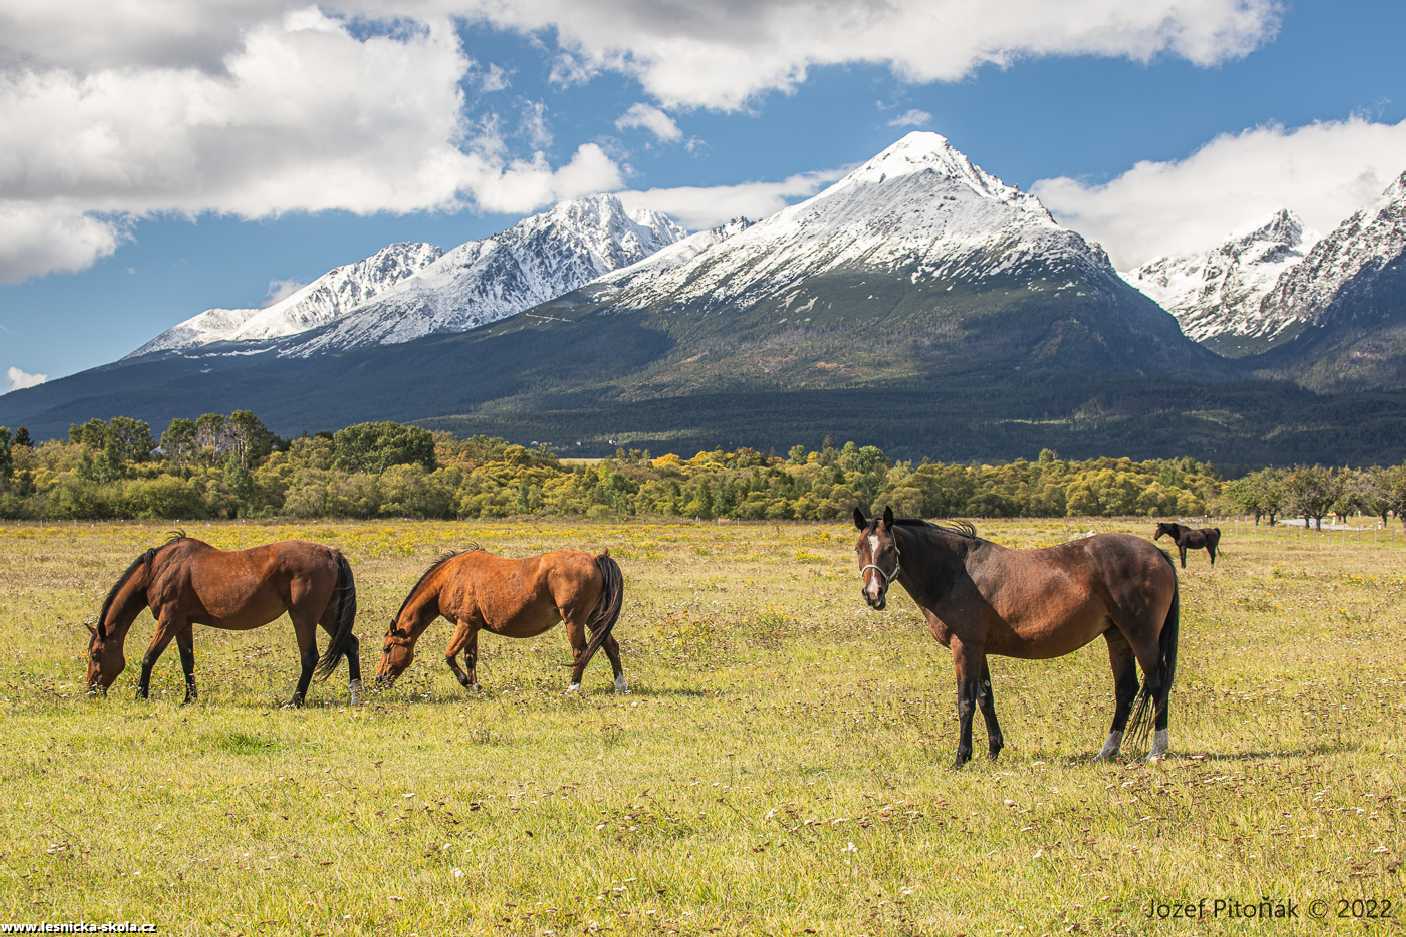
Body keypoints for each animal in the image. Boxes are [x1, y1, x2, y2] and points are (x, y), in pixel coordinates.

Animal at [87, 531, 359, 700]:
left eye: (95, 654)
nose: (91, 690)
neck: (160, 569)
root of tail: (331, 553)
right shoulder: (183, 624)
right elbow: (188, 661)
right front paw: (189, 698)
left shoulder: (169, 620)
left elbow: (149, 657)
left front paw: (141, 694)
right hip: (327, 614)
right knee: (351, 645)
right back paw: (356, 695)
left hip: (304, 617)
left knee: (310, 656)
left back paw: (295, 701)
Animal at [379, 543, 632, 689]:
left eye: (387, 648)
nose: (379, 679)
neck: (449, 578)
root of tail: (596, 558)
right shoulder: (472, 627)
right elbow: (470, 658)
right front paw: (475, 687)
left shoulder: (464, 624)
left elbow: (449, 655)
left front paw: (465, 683)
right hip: (594, 619)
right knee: (611, 647)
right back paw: (620, 685)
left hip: (575, 621)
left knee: (580, 652)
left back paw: (572, 687)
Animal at [854, 506, 1175, 765]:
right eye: (859, 549)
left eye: (889, 549)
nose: (873, 594)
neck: (955, 572)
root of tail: (1157, 553)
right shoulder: (978, 649)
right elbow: (985, 698)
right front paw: (993, 751)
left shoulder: (964, 647)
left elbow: (965, 701)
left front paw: (961, 757)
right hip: (1117, 637)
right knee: (1126, 689)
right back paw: (1107, 751)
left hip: (1142, 637)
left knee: (1157, 685)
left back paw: (1156, 751)